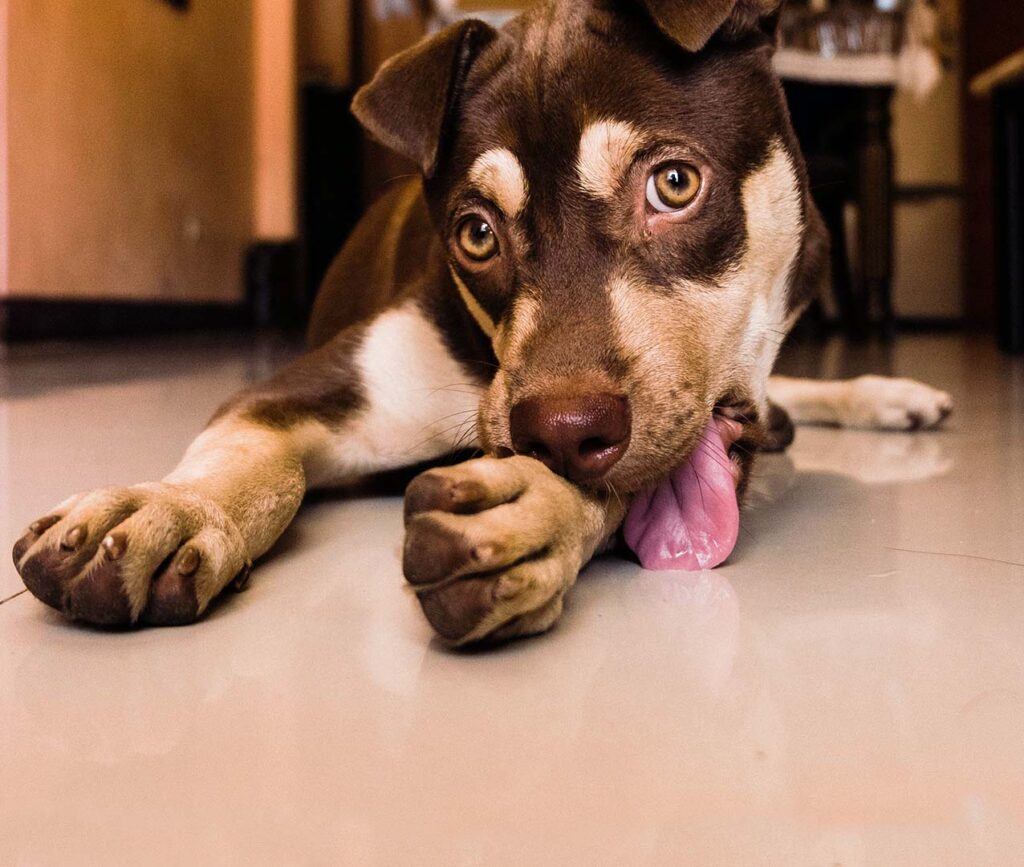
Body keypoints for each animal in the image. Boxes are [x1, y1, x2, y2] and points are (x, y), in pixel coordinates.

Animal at [12, 0, 953, 645]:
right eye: (475, 234)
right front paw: (170, 508)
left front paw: (529, 514)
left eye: (675, 184)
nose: (561, 429)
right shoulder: (301, 388)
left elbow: (623, 476)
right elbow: (251, 458)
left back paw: (883, 393)